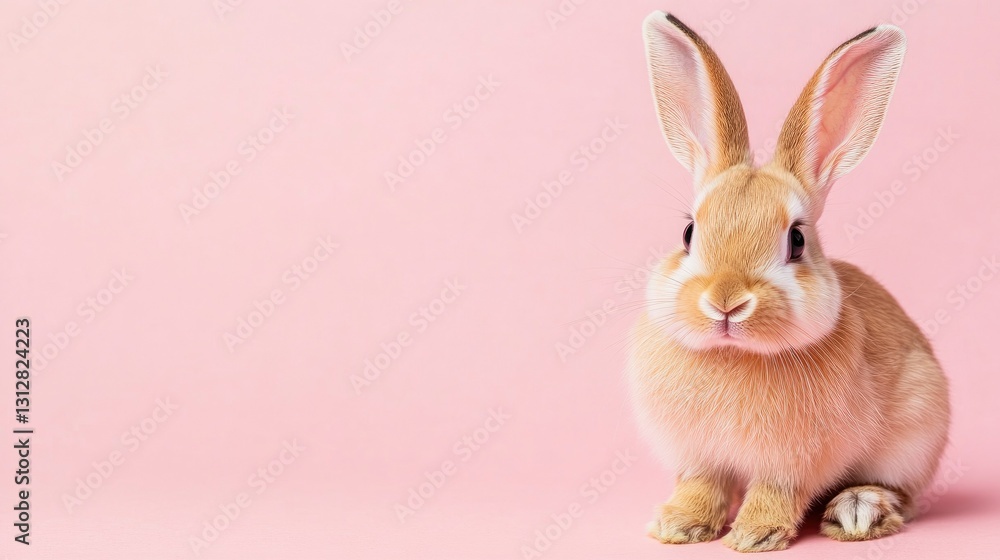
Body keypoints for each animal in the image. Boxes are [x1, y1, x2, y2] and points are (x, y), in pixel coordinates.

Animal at [627, 11, 951, 553]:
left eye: (796, 241)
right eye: (689, 233)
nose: (726, 302)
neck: (734, 357)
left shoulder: (793, 463)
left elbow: (776, 492)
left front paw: (755, 536)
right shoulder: (698, 456)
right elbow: (700, 486)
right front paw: (678, 526)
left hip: (919, 429)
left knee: (902, 494)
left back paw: (859, 510)